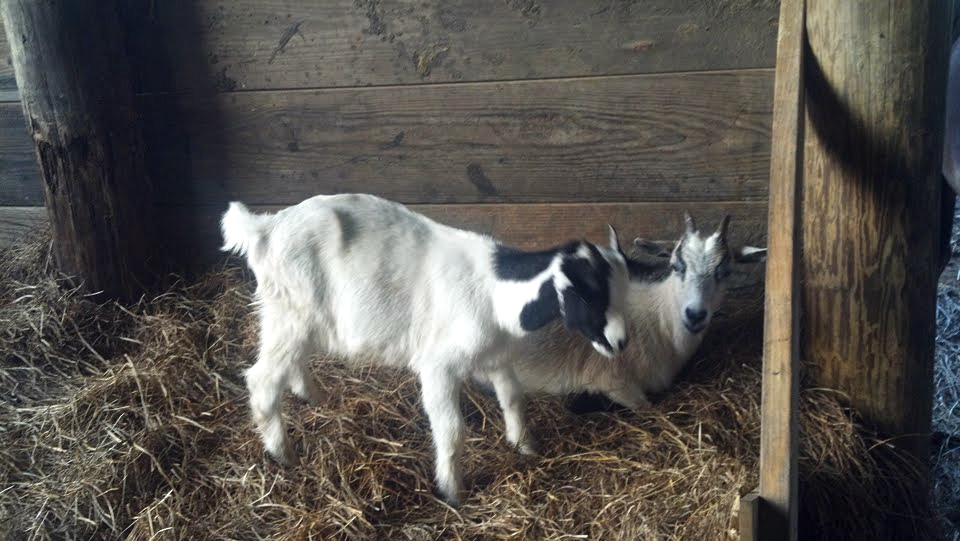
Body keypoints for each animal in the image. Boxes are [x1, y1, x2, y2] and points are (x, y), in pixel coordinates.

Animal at [219, 193, 631, 505]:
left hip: (295, 318)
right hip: (291, 312)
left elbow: (514, 398)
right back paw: (282, 455)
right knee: (262, 380)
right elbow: (451, 429)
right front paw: (452, 492)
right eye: (588, 296)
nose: (621, 342)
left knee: (289, 362)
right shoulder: (439, 365)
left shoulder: (495, 356)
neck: (496, 291)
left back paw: (313, 398)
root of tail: (265, 227)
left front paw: (525, 447)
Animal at [498, 212, 766, 411]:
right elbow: (647, 408)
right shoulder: (613, 381)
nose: (695, 315)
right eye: (675, 266)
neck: (659, 325)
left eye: (726, 272)